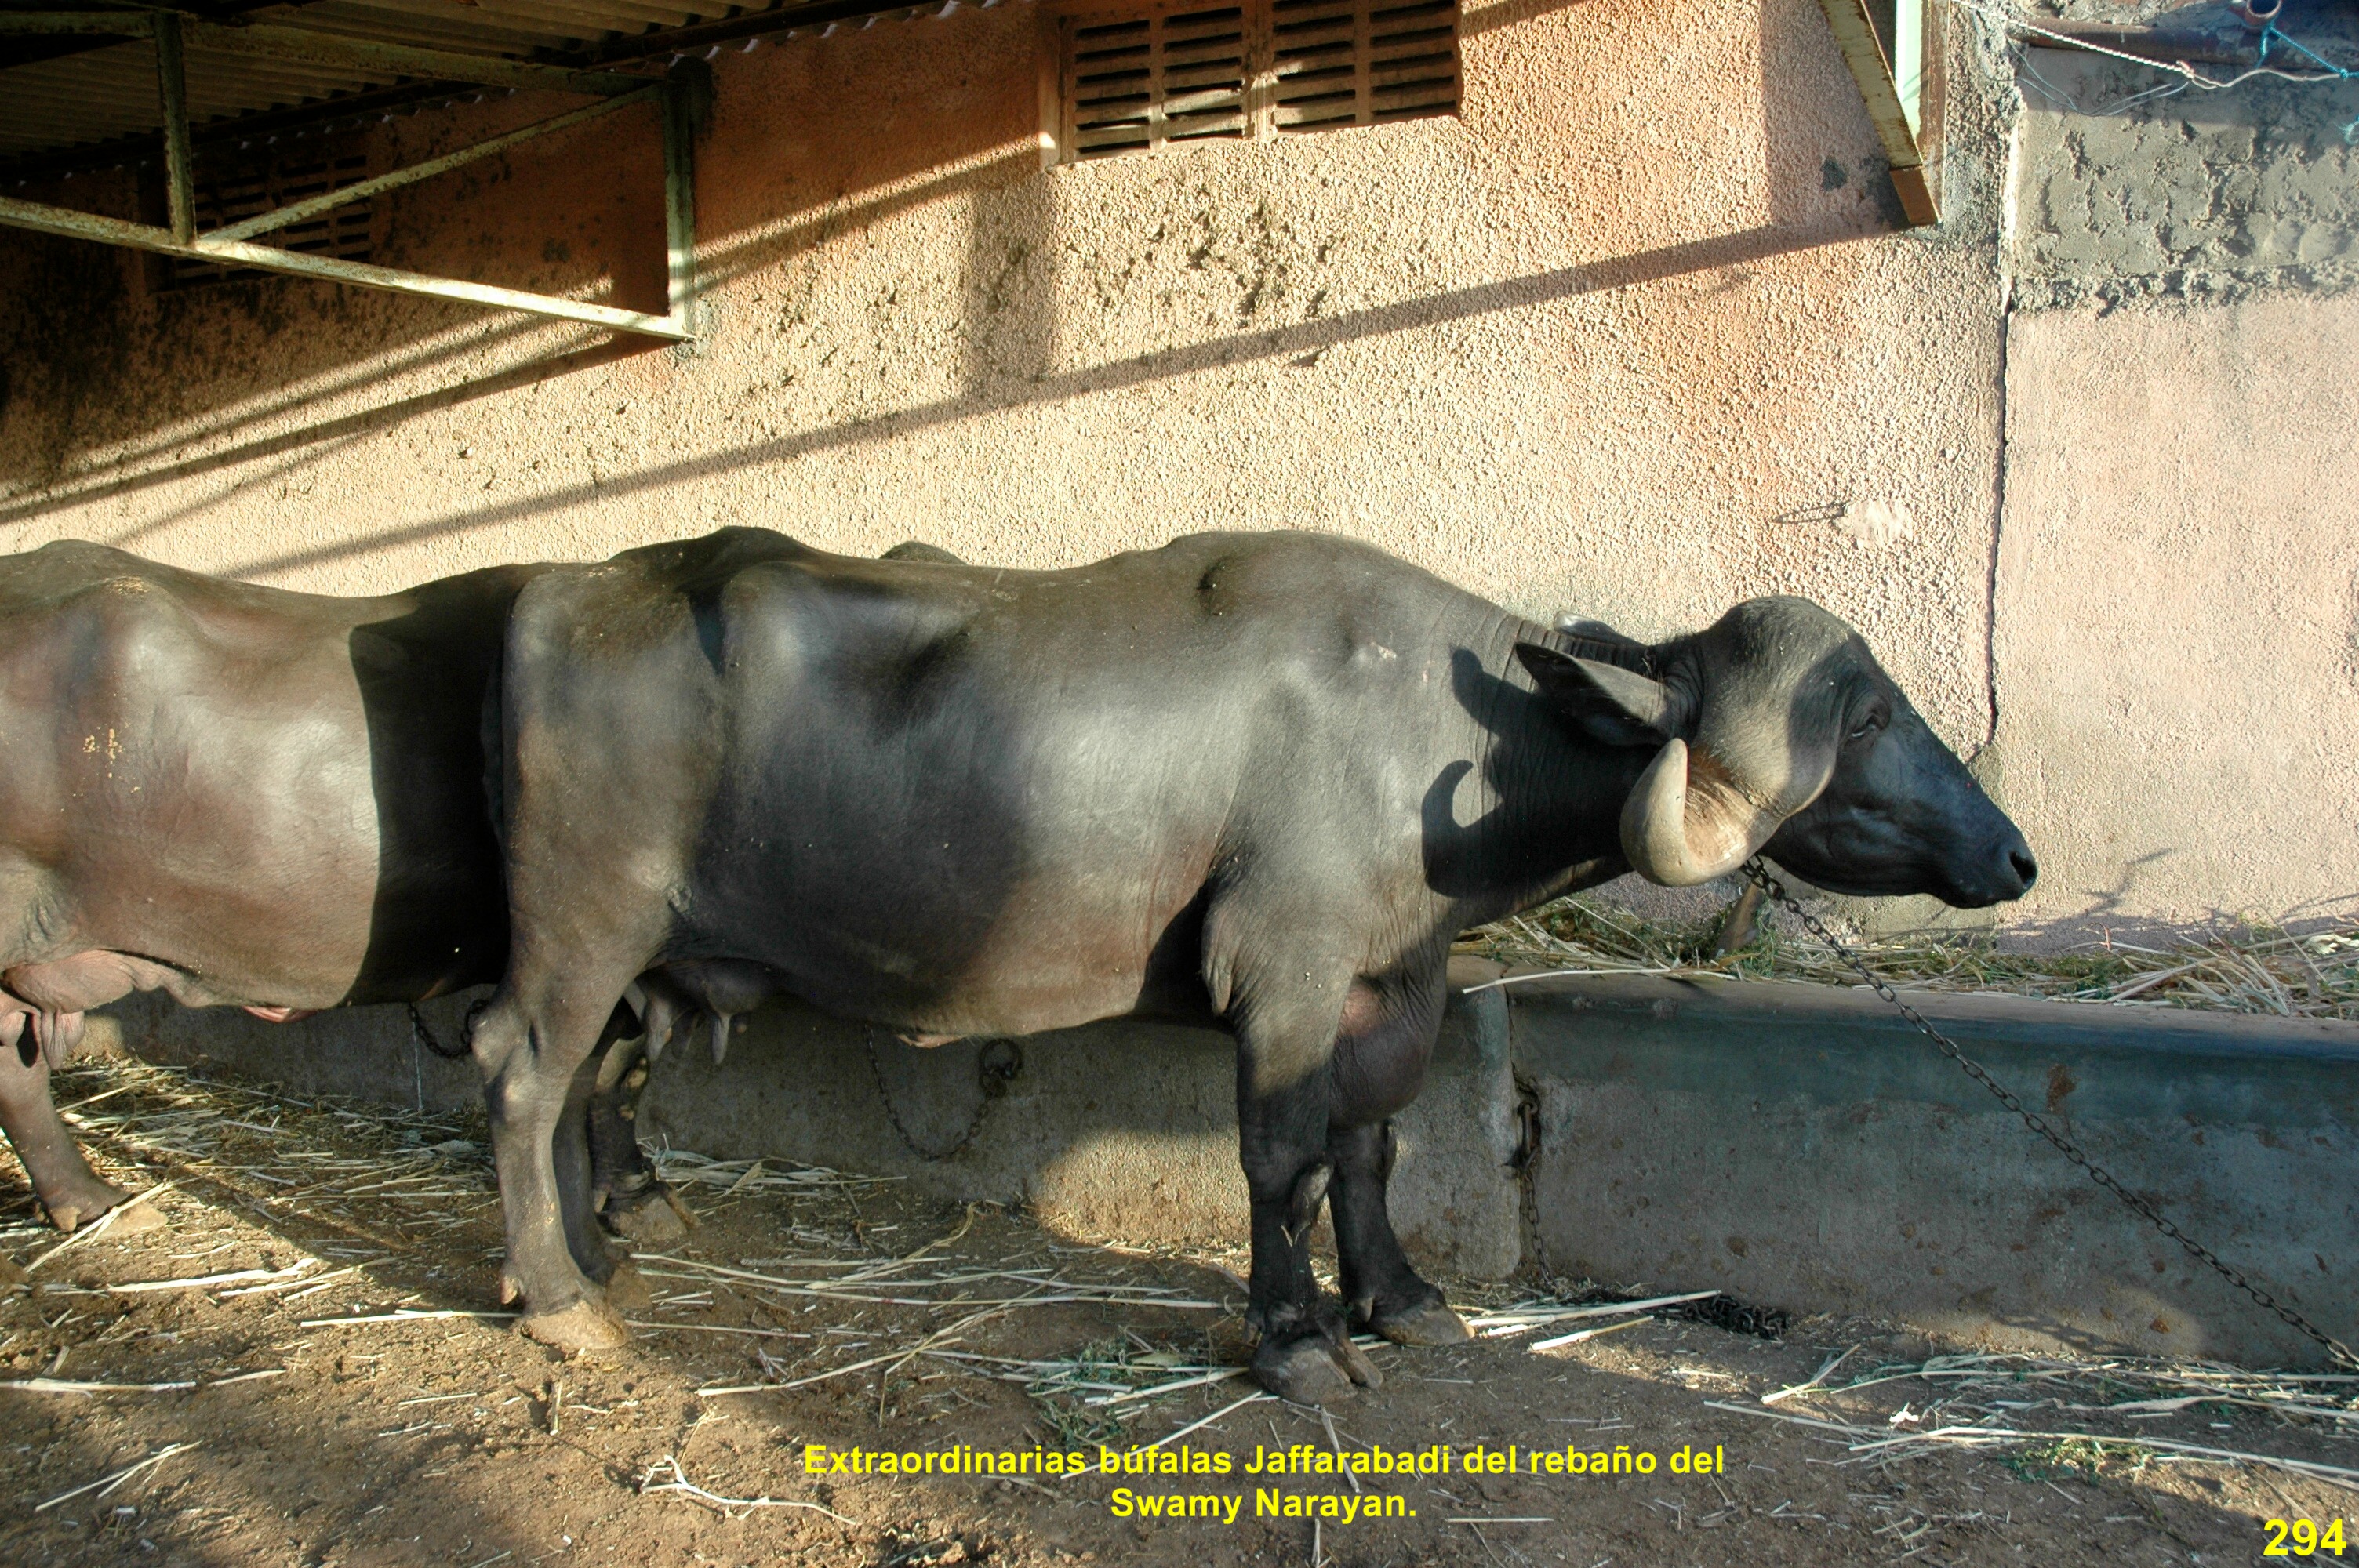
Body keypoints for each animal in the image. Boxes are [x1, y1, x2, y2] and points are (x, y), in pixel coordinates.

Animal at [467, 527, 2034, 1404]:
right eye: (1866, 716)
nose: (2015, 854)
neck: (1440, 734)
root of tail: (556, 602)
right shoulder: (1283, 972)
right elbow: (1278, 1155)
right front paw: (1289, 1340)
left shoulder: (1392, 983)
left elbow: (1369, 1146)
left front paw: (1398, 1299)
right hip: (581, 930)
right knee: (520, 1075)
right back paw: (558, 1301)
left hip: (650, 960)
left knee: (596, 1080)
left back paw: (605, 1243)